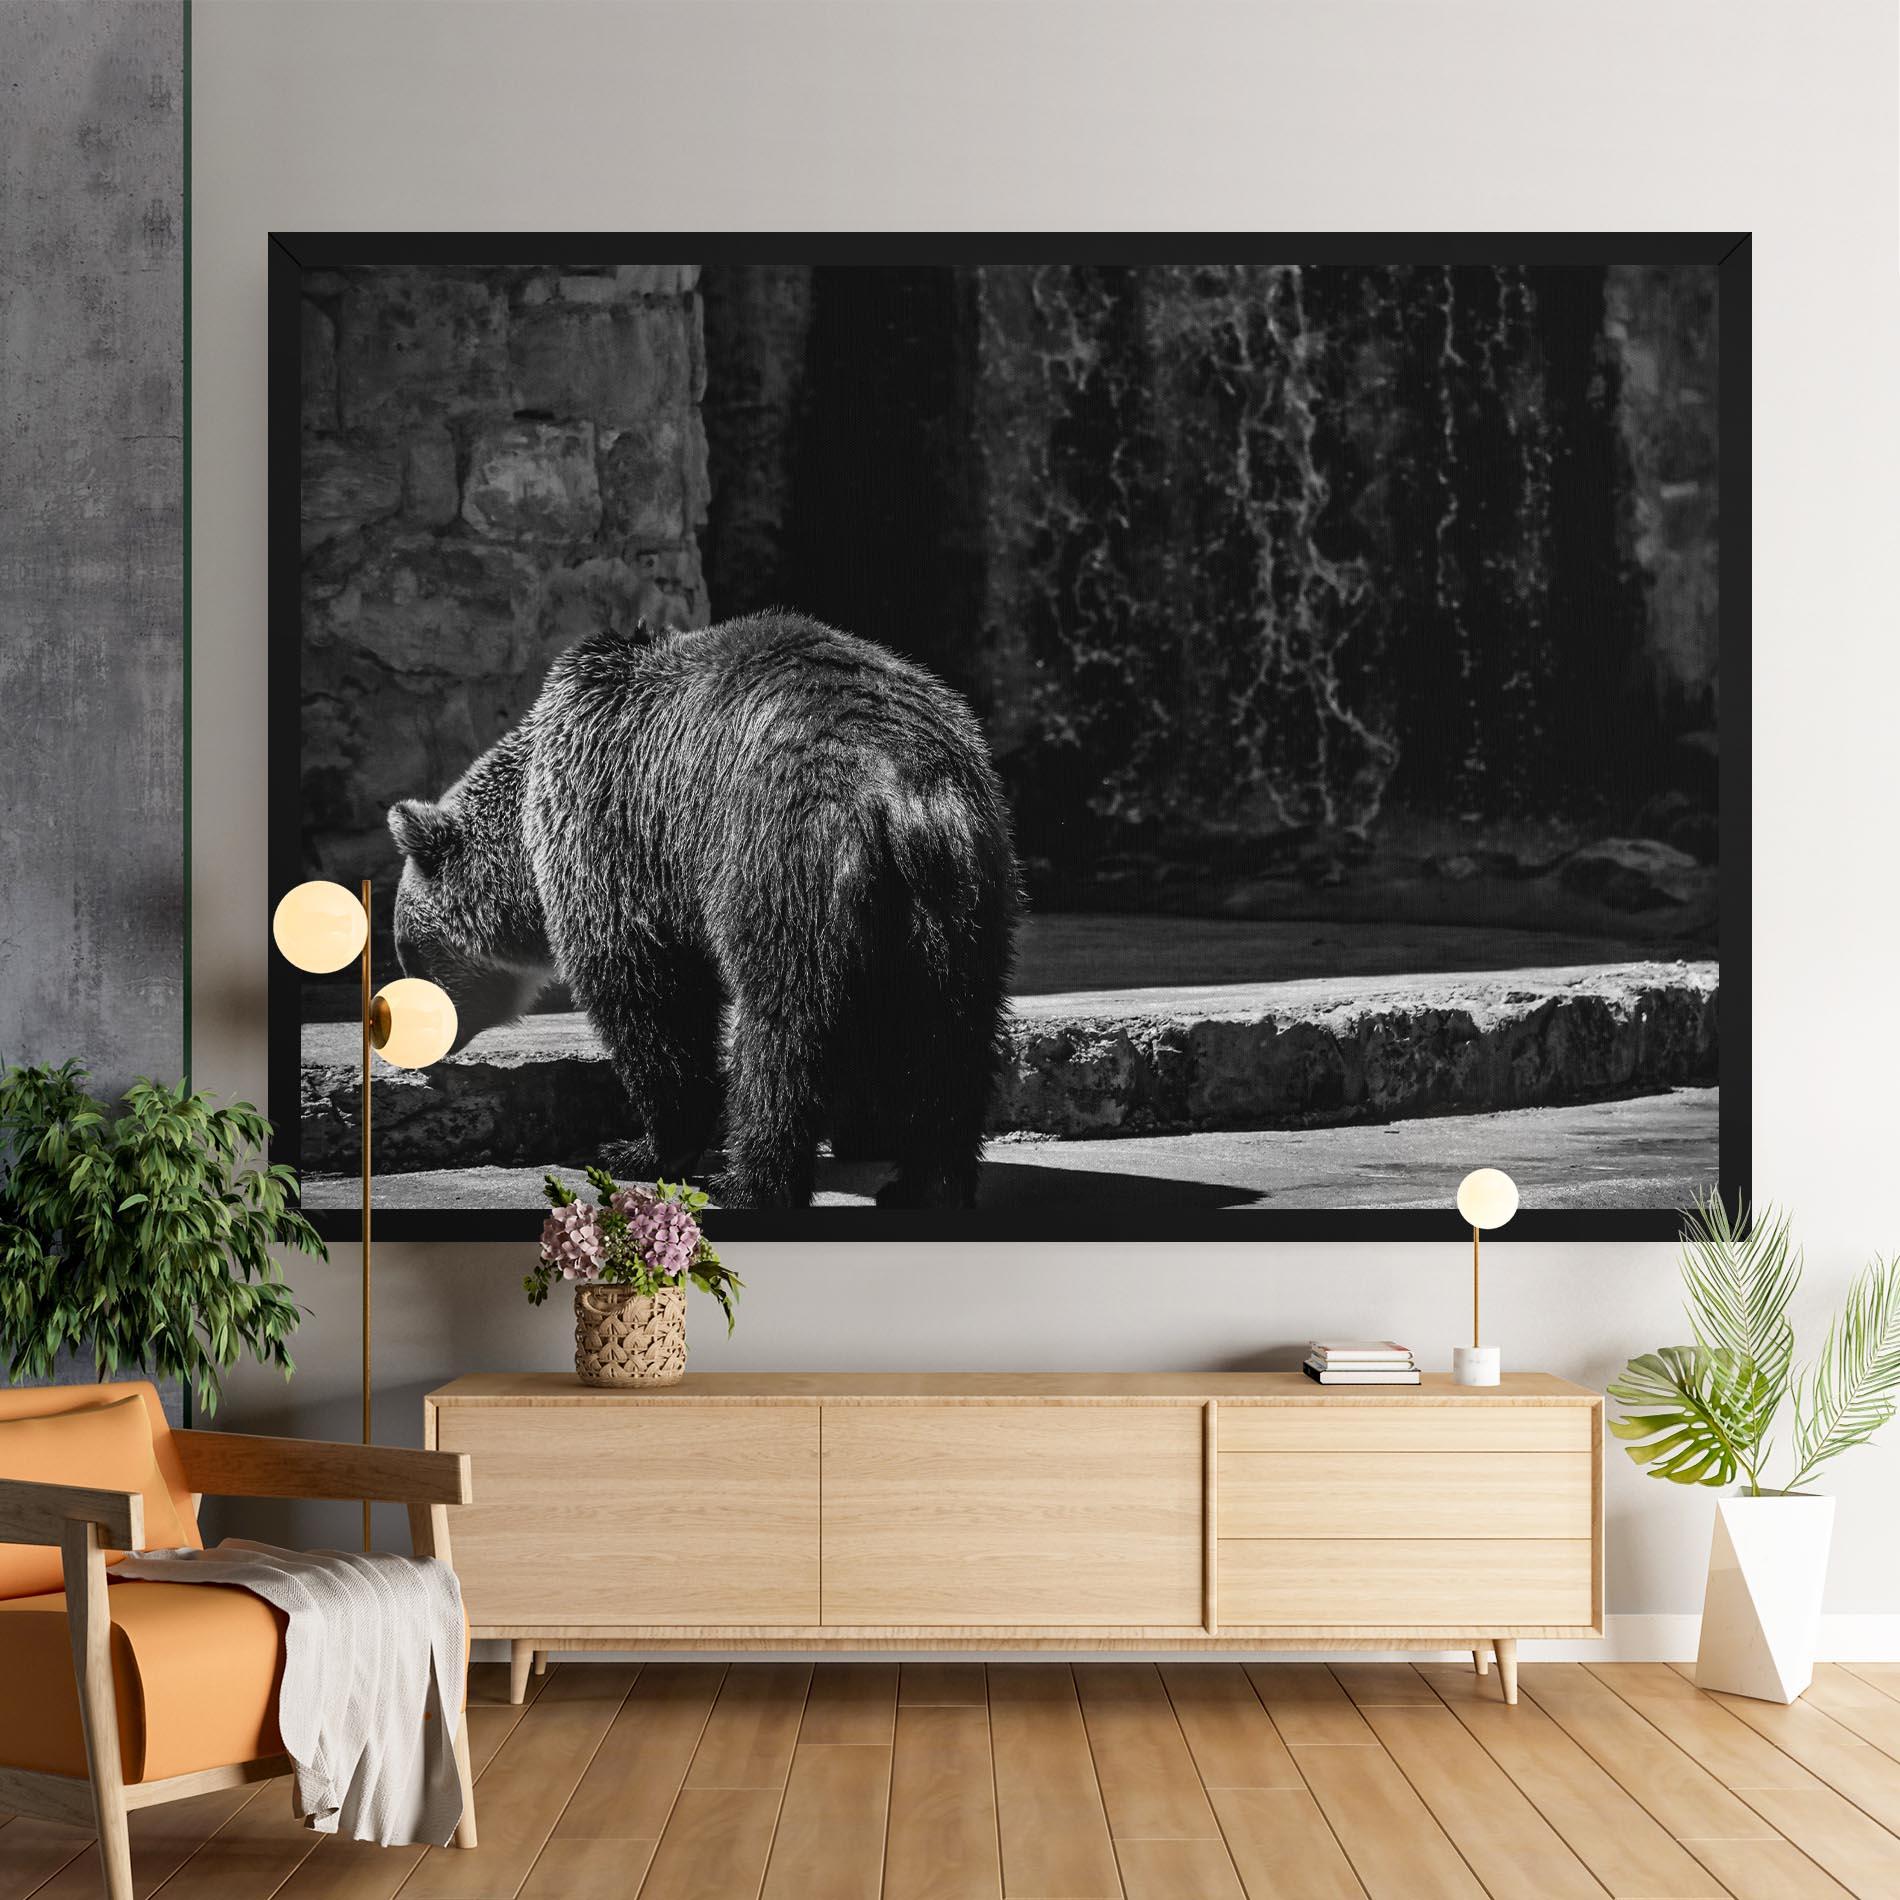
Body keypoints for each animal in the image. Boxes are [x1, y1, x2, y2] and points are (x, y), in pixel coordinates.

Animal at [386, 610, 1019, 1210]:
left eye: (407, 951)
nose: (410, 1042)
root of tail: (904, 793)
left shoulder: (619, 828)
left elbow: (649, 996)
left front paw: (635, 1148)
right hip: (964, 898)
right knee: (951, 1037)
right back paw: (926, 1185)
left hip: (783, 861)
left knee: (784, 1034)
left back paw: (748, 1183)